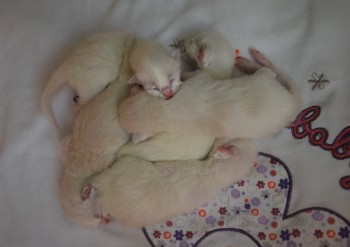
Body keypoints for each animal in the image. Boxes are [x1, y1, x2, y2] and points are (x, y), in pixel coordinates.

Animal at [119, 47, 302, 141]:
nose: (119, 107)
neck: (162, 111)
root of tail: (293, 103)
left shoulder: (197, 79)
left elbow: (193, 74)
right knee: (273, 72)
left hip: (264, 79)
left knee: (273, 71)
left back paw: (252, 61)